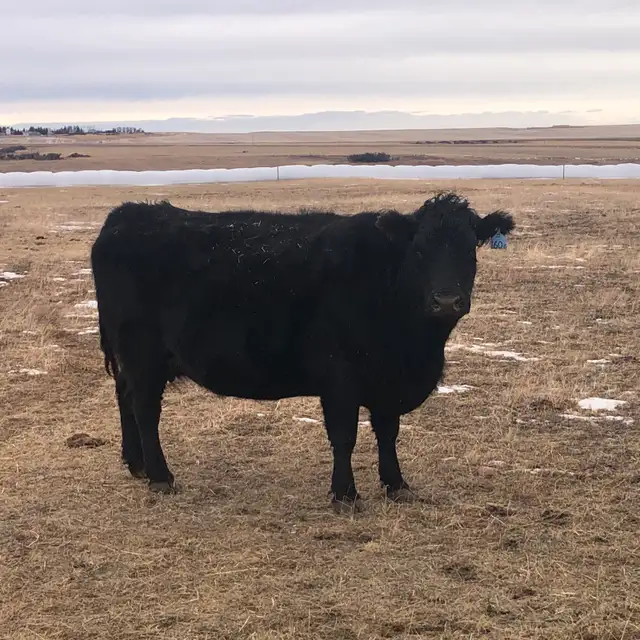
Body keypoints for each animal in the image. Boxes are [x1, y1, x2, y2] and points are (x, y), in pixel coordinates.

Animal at [90, 192, 514, 512]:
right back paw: (160, 477)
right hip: (143, 355)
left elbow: (388, 433)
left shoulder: (387, 381)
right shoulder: (340, 378)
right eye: (420, 250)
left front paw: (396, 485)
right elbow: (344, 436)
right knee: (145, 409)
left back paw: (136, 465)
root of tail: (128, 213)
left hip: (133, 359)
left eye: (470, 250)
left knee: (124, 398)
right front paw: (345, 495)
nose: (446, 301)